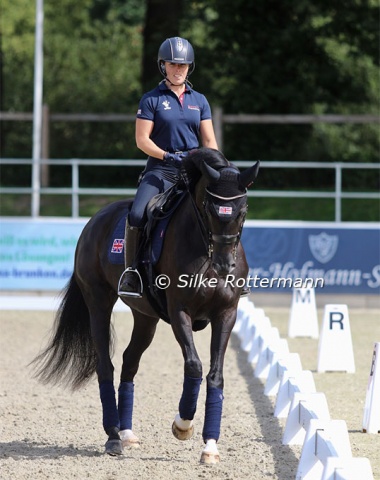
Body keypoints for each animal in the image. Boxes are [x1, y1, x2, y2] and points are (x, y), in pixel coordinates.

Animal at [31, 148, 260, 464]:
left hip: (145, 317)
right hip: (99, 303)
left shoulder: (226, 314)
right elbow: (194, 365)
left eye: (243, 211)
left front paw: (210, 446)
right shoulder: (179, 312)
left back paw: (127, 434)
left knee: (129, 362)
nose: (225, 265)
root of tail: (95, 220)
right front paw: (182, 425)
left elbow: (215, 375)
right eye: (209, 208)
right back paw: (114, 437)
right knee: (106, 366)